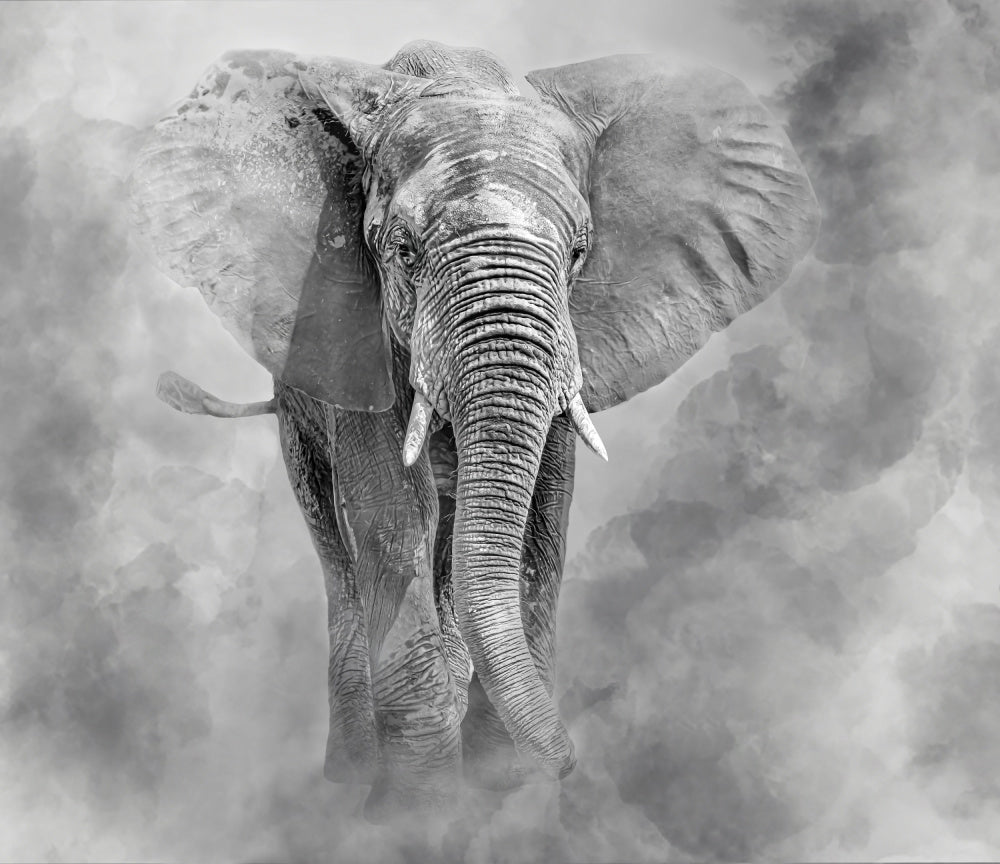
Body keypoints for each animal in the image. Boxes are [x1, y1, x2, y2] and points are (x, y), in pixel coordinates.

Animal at [130, 39, 819, 817]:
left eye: (578, 254)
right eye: (402, 252)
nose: (573, 763)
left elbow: (542, 527)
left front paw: (501, 784)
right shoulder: (349, 335)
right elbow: (393, 522)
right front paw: (419, 806)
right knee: (337, 546)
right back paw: (352, 774)